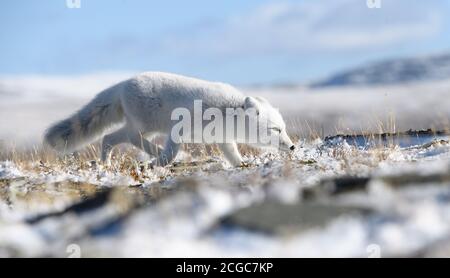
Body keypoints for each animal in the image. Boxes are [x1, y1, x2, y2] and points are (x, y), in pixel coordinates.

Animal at [44, 72, 294, 167]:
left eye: (283, 128)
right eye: (275, 130)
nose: (292, 146)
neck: (225, 113)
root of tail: (123, 83)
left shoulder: (224, 139)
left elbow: (233, 154)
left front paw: (241, 165)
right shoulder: (179, 129)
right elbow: (172, 151)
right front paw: (161, 163)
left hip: (143, 127)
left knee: (109, 138)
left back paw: (106, 162)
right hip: (146, 125)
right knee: (128, 138)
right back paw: (154, 155)